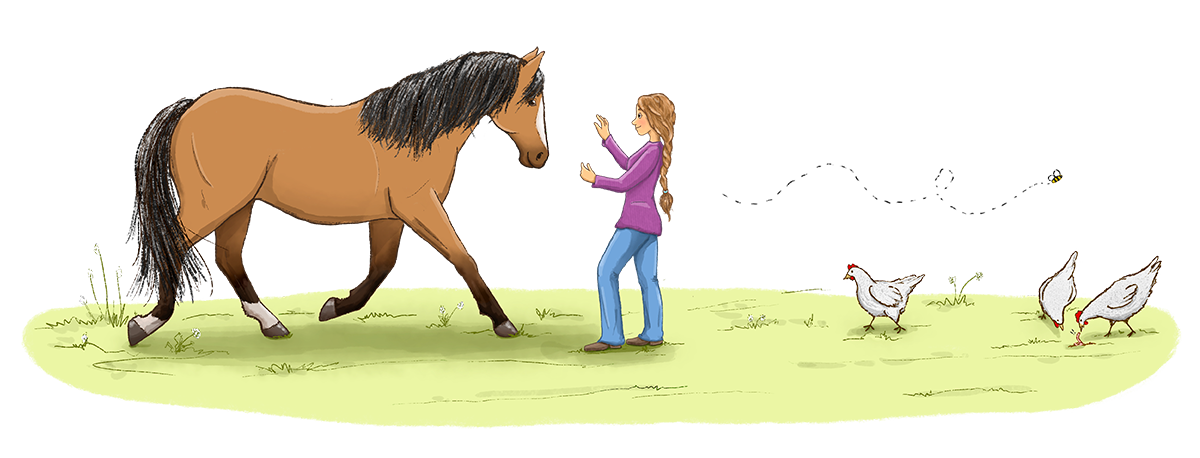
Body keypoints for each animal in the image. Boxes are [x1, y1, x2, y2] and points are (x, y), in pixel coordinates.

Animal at [127, 49, 549, 346]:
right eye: (530, 100)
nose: (540, 158)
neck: (414, 132)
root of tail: (188, 106)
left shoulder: (389, 216)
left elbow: (379, 268)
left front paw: (332, 308)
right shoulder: (419, 208)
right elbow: (463, 260)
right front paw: (503, 322)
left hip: (236, 206)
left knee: (229, 257)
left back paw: (271, 324)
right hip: (212, 204)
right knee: (173, 246)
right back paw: (143, 325)